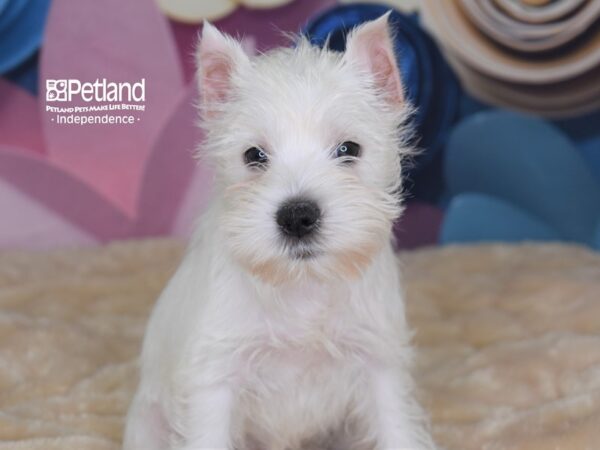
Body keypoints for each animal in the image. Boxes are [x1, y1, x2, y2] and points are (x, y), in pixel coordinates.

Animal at [123, 13, 436, 450]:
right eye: (254, 156)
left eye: (349, 149)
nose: (297, 217)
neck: (302, 284)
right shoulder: (214, 379)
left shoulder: (379, 365)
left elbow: (397, 429)